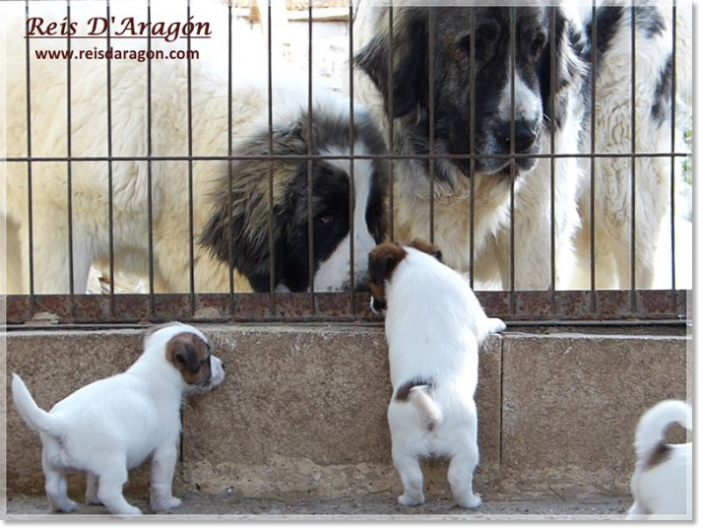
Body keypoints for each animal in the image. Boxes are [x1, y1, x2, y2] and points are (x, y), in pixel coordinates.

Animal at [11, 322, 226, 516]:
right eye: (206, 358)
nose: (223, 364)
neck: (156, 372)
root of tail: (61, 422)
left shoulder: (94, 470)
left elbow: (93, 480)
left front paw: (92, 499)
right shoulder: (165, 450)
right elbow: (161, 482)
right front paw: (166, 504)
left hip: (53, 464)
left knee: (54, 488)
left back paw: (65, 506)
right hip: (113, 463)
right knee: (108, 492)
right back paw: (128, 511)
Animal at [368, 239, 506, 510]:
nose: (373, 305)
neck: (414, 263)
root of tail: (431, 415)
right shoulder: (476, 314)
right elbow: (486, 322)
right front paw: (499, 322)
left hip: (403, 448)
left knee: (412, 479)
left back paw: (409, 500)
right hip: (465, 445)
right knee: (458, 478)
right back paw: (472, 501)